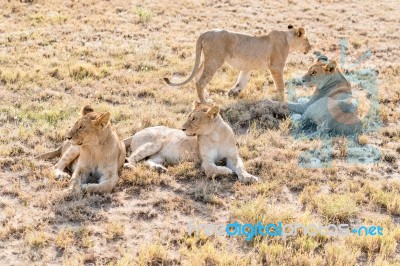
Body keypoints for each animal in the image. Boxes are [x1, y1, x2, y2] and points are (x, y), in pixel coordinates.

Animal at [123, 101, 258, 183]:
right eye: (189, 116)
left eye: (194, 118)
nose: (182, 128)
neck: (215, 136)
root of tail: (137, 132)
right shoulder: (206, 162)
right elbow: (213, 169)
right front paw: (227, 171)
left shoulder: (232, 157)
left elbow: (240, 167)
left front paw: (249, 177)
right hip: (154, 143)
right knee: (130, 158)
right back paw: (130, 166)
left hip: (160, 156)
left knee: (147, 161)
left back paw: (159, 168)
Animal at [164, 25, 310, 102]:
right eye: (307, 40)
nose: (311, 47)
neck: (288, 39)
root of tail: (205, 33)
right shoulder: (276, 67)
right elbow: (280, 84)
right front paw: (281, 100)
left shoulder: (247, 67)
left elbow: (241, 82)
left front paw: (232, 93)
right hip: (215, 60)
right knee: (201, 81)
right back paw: (206, 102)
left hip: (207, 60)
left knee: (197, 76)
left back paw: (204, 97)